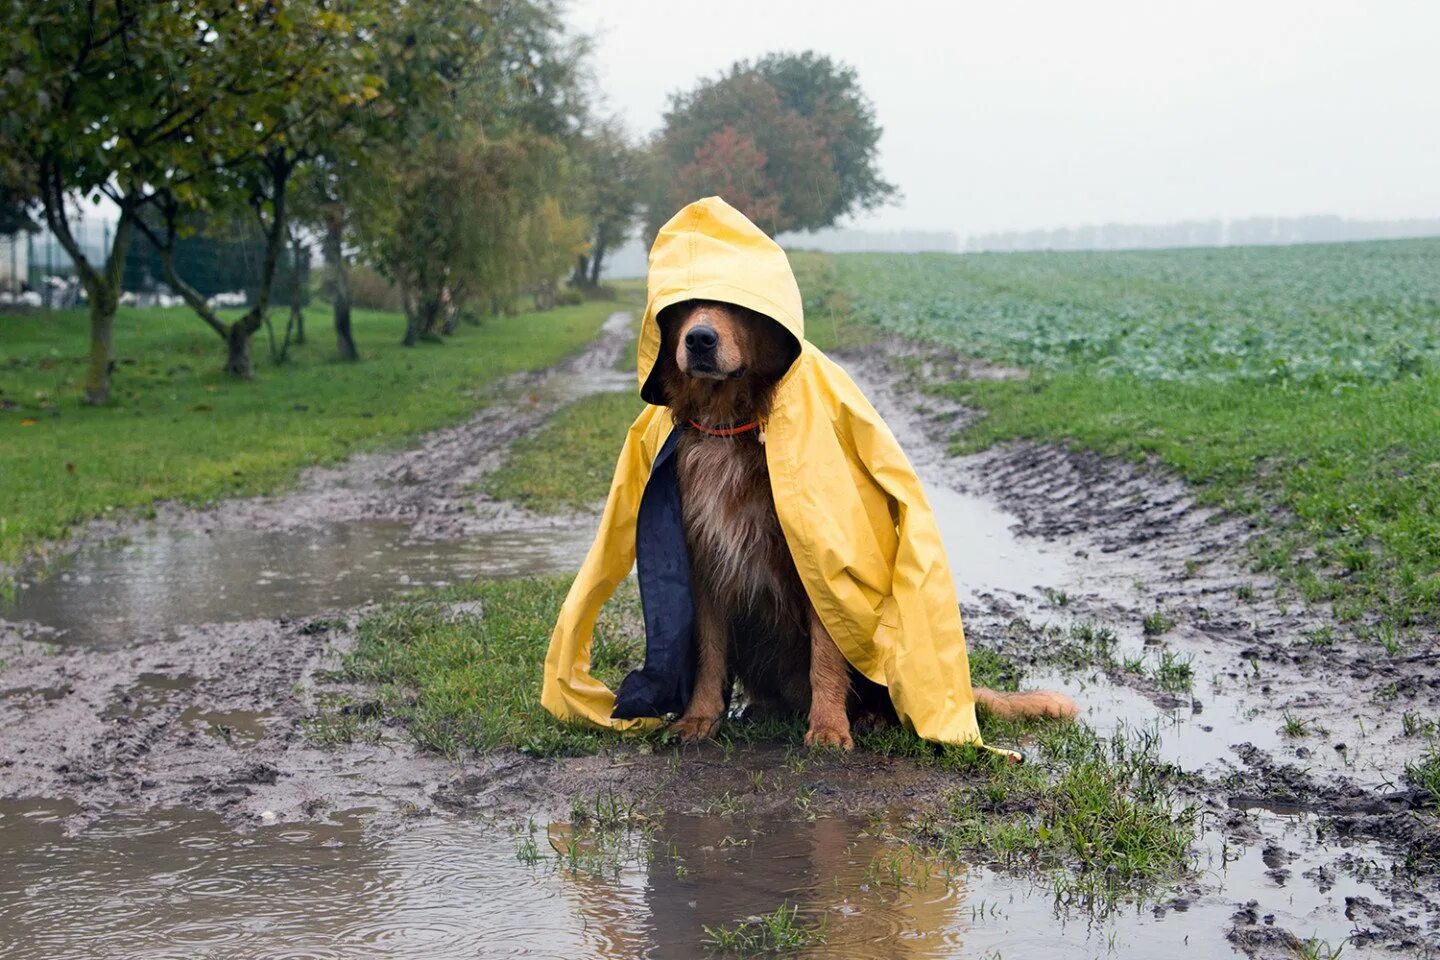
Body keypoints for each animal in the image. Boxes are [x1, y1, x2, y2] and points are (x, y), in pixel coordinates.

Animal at [659, 300, 1077, 748]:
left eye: (736, 307)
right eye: (685, 304)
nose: (700, 340)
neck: (731, 424)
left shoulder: (820, 563)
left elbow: (825, 654)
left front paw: (828, 727)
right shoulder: (706, 564)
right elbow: (709, 653)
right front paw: (700, 717)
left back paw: (868, 717)